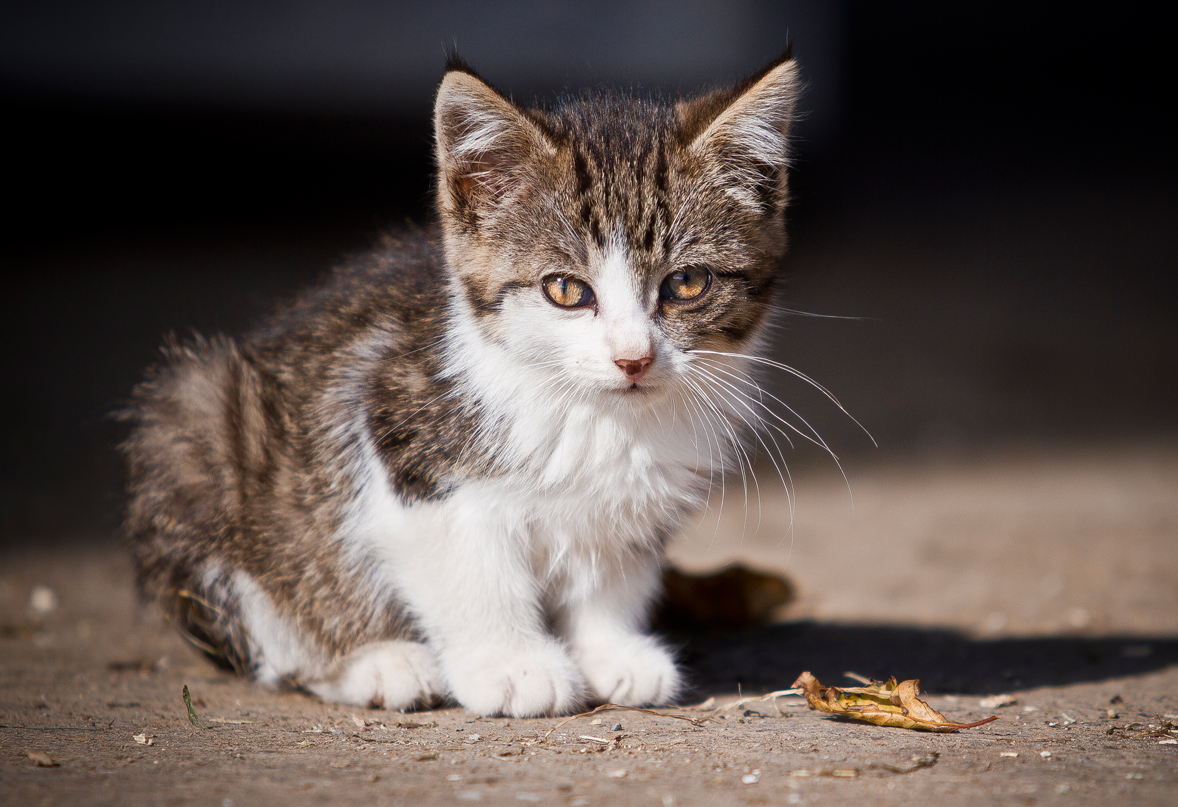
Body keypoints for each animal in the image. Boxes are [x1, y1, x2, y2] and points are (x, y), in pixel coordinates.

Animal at [121, 53, 801, 716]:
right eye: (565, 289)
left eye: (687, 283)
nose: (632, 359)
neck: (597, 417)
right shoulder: (399, 426)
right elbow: (471, 569)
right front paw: (513, 666)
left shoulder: (640, 495)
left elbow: (610, 568)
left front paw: (610, 652)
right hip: (195, 423)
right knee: (269, 629)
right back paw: (378, 663)